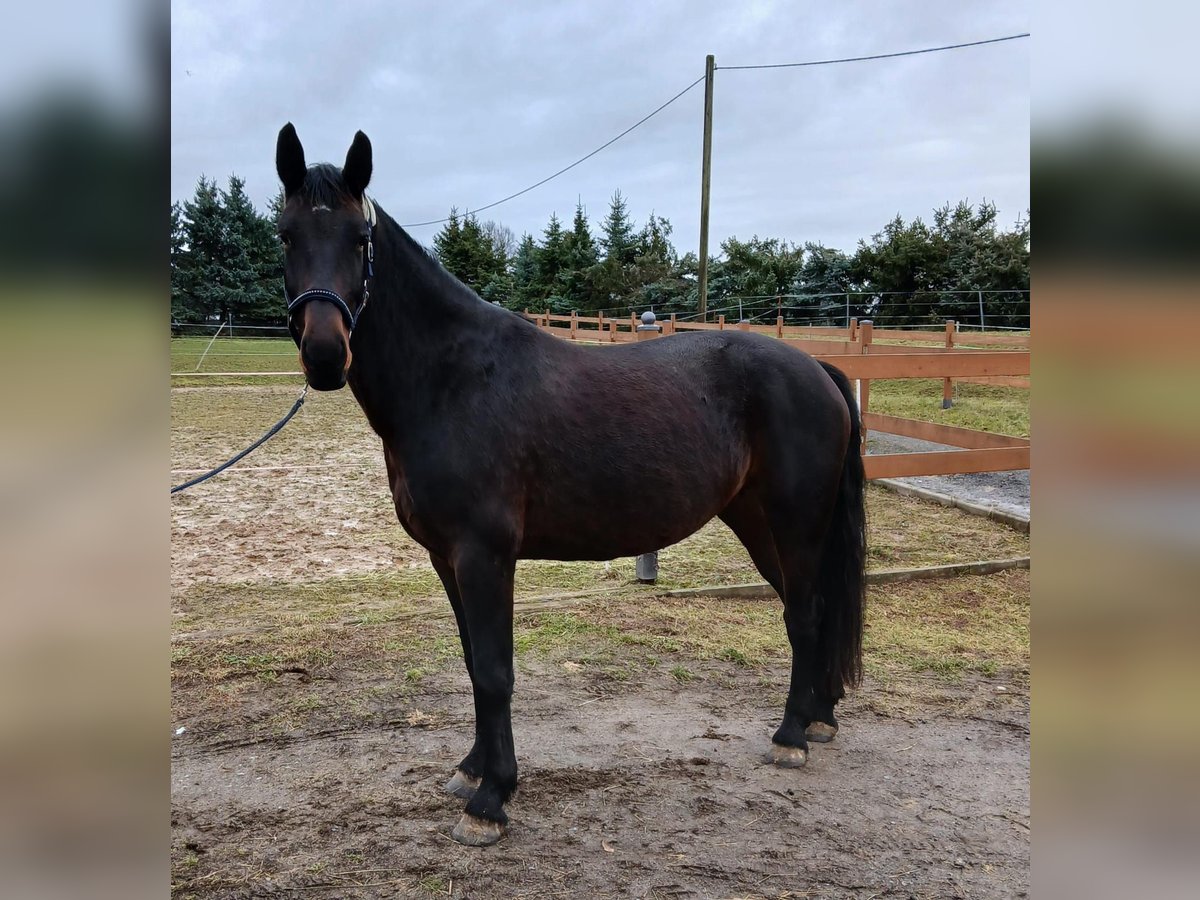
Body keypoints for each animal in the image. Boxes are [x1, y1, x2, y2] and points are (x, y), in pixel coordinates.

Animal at [276, 123, 868, 849]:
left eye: (360, 238)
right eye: (286, 235)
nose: (325, 355)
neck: (451, 380)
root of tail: (818, 369)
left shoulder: (483, 555)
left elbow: (495, 671)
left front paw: (491, 800)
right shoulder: (447, 558)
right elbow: (473, 662)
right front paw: (472, 770)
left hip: (796, 522)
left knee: (805, 613)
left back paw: (790, 736)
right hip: (758, 523)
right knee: (807, 610)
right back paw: (818, 718)